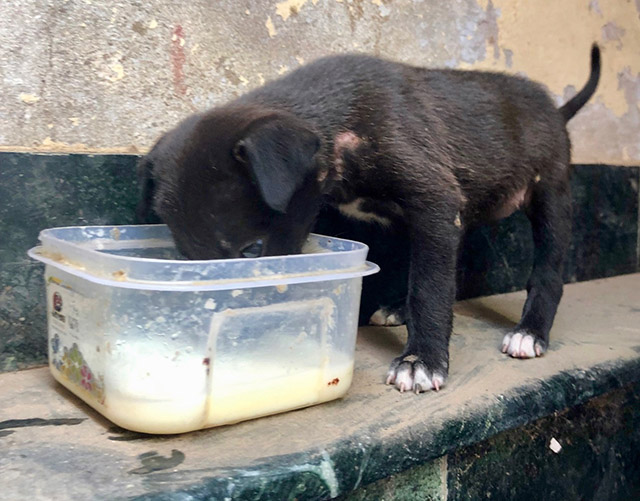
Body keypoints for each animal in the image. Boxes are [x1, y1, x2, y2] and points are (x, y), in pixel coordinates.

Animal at [136, 45, 600, 392]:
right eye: (188, 260)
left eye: (252, 250)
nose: (239, 343)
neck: (333, 125)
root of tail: (555, 109)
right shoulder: (429, 213)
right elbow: (425, 273)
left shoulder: (433, 199)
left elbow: (429, 288)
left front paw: (421, 360)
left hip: (551, 193)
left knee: (548, 271)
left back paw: (531, 331)